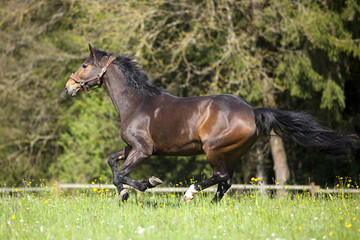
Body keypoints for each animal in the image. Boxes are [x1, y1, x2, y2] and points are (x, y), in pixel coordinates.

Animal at [64, 44, 358, 202]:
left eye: (84, 65)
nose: (68, 87)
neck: (137, 102)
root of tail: (253, 111)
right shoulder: (130, 148)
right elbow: (112, 164)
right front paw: (125, 193)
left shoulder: (143, 150)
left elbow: (122, 174)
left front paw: (146, 184)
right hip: (234, 152)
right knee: (226, 182)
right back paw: (212, 204)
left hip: (213, 149)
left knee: (221, 177)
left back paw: (190, 193)